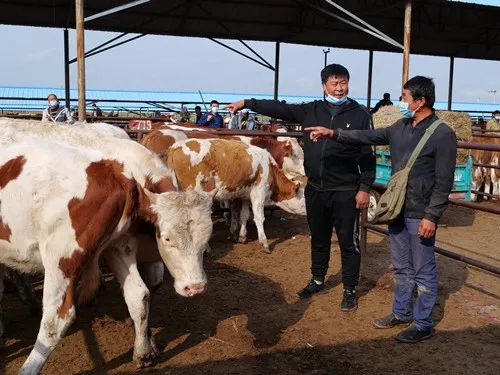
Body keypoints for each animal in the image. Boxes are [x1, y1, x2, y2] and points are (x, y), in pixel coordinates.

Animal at [0, 120, 213, 374]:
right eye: (167, 238)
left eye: (206, 239)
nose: (196, 287)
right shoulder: (122, 247)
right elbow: (141, 294)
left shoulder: (123, 248)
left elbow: (142, 294)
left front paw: (146, 346)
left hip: (60, 258)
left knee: (55, 319)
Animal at [165, 138, 304, 253]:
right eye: (303, 201)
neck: (268, 167)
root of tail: (176, 146)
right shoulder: (258, 192)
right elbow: (259, 218)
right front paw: (264, 243)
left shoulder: (244, 195)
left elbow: (243, 215)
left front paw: (241, 236)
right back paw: (206, 248)